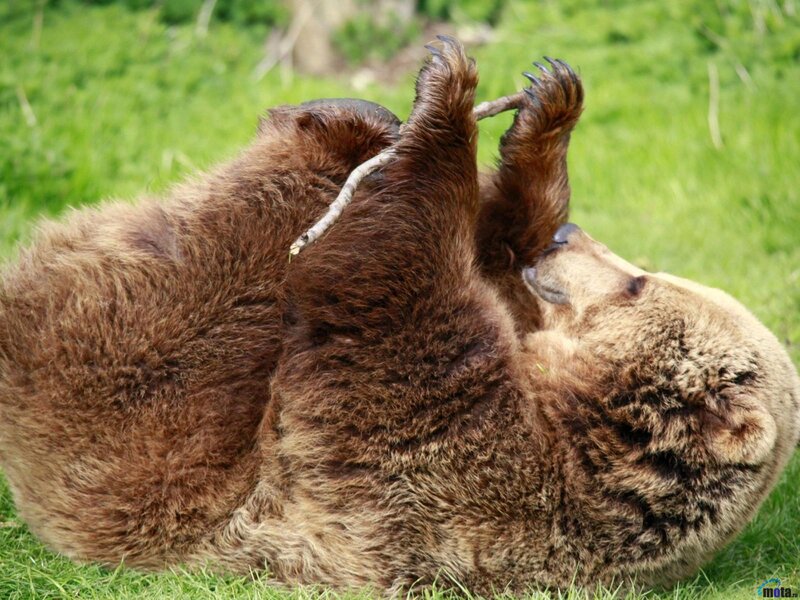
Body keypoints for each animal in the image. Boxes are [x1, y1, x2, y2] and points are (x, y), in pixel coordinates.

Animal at [0, 36, 798, 595]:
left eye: (637, 284)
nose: (569, 238)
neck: (571, 414)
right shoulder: (513, 346)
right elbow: (489, 251)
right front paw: (546, 106)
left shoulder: (443, 470)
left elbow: (385, 294)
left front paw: (447, 97)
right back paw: (355, 117)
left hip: (137, 424)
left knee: (219, 270)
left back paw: (339, 128)